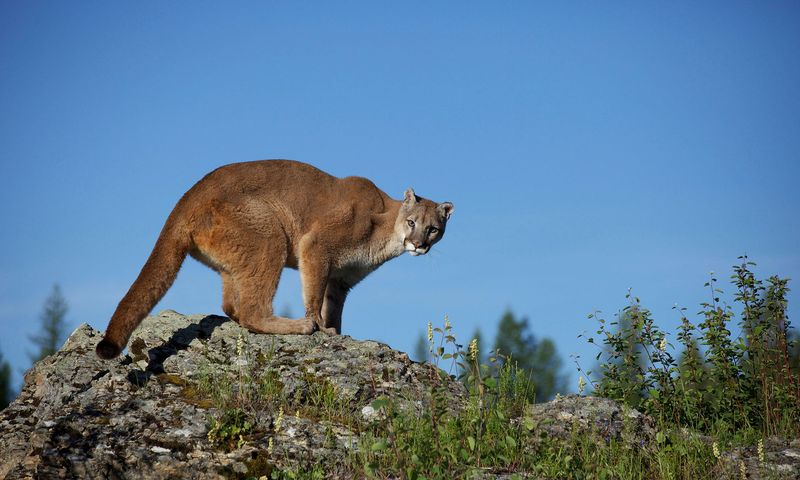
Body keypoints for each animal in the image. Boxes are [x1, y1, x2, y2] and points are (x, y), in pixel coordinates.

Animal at [97, 159, 454, 358]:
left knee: (232, 306)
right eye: (412, 223)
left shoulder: (341, 281)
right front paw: (320, 327)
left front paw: (336, 331)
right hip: (269, 235)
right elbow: (314, 296)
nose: (419, 244)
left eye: (434, 229)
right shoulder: (316, 246)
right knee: (251, 311)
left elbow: (333, 307)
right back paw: (298, 326)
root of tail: (186, 198)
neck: (386, 227)